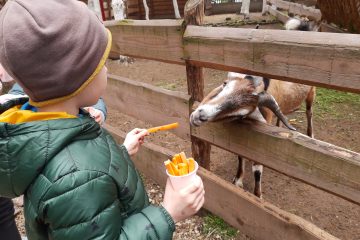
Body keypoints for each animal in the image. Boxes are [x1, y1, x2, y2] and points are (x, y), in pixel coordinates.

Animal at [190, 19, 316, 199]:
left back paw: (311, 135)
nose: (200, 115)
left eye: (241, 113)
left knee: (309, 112)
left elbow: (257, 168)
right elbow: (240, 156)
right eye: (225, 84)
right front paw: (238, 180)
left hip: (312, 93)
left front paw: (257, 196)